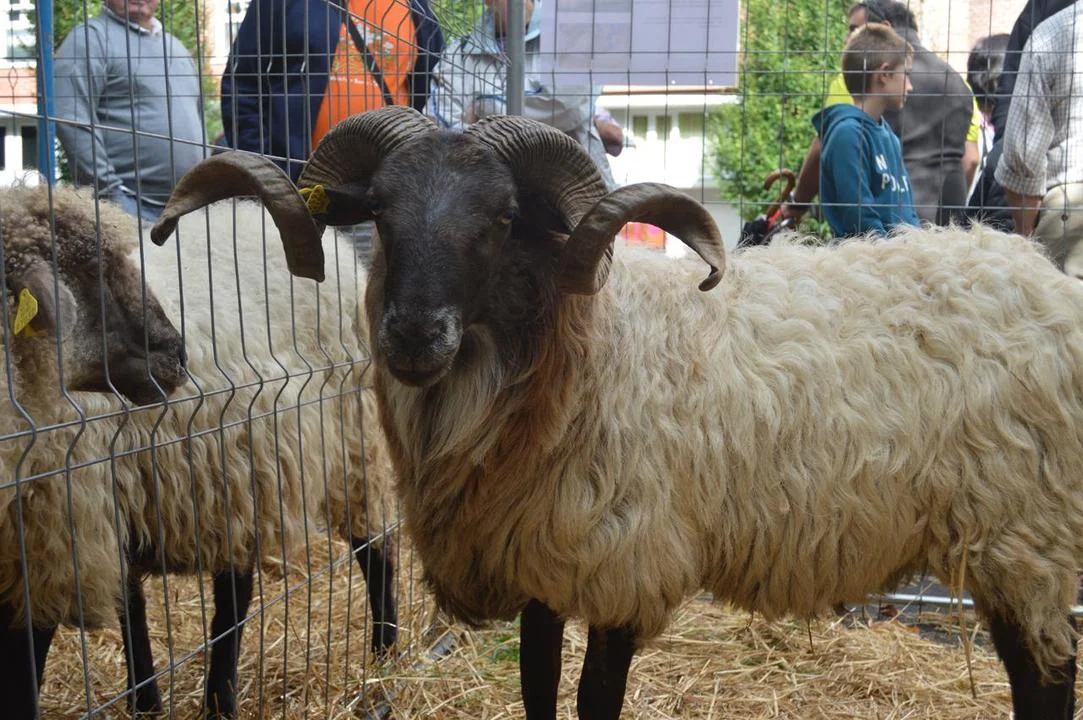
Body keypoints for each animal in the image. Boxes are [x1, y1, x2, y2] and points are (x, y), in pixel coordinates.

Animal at [156, 105, 1083, 719]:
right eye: (378, 212)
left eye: (502, 217)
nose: (413, 334)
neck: (577, 356)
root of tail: (1045, 279)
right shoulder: (539, 559)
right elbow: (535, 691)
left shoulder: (620, 563)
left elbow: (591, 703)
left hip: (1024, 536)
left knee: (1047, 679)